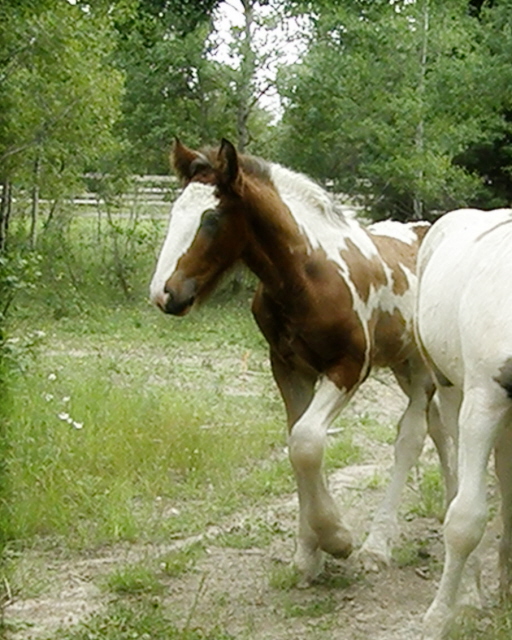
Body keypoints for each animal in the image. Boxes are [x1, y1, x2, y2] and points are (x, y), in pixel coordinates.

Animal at [150, 139, 450, 580]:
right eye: (174, 212)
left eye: (213, 218)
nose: (164, 293)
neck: (305, 276)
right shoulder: (288, 369)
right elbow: (296, 445)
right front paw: (309, 552)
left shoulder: (348, 367)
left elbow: (306, 442)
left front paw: (336, 538)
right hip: (403, 365)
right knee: (439, 427)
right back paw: (449, 507)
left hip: (423, 367)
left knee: (411, 436)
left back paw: (377, 546)